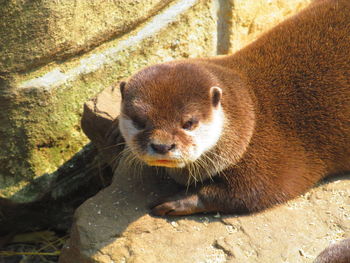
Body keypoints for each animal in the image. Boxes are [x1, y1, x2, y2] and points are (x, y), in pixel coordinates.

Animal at [118, 0, 350, 218]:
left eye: (189, 123)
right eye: (139, 122)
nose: (162, 146)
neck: (252, 113)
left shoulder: (273, 157)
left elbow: (254, 192)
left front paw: (176, 201)